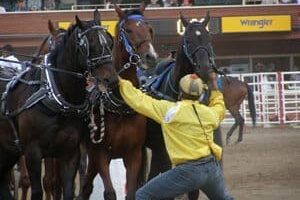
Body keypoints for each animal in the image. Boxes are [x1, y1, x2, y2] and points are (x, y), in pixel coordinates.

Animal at [0, 11, 115, 200]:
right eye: (89, 44)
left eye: (109, 41)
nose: (111, 79)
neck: (55, 99)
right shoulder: (32, 152)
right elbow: (39, 189)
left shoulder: (70, 152)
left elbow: (66, 189)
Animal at [81, 3, 158, 200]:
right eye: (129, 30)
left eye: (150, 29)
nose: (151, 57)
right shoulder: (100, 154)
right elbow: (109, 193)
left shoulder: (133, 154)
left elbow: (130, 192)